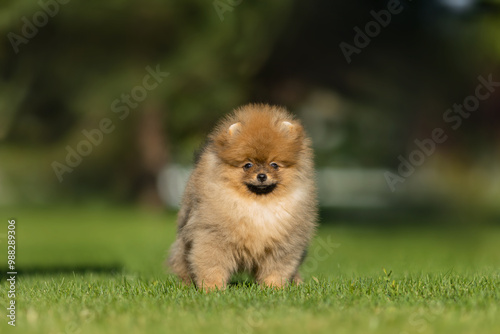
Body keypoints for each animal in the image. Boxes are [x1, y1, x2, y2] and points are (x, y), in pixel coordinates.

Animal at [168, 103, 316, 290]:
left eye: (274, 165)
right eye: (248, 165)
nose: (262, 176)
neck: (258, 204)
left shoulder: (285, 243)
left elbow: (277, 269)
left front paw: (273, 288)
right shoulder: (212, 236)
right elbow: (211, 265)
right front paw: (213, 288)